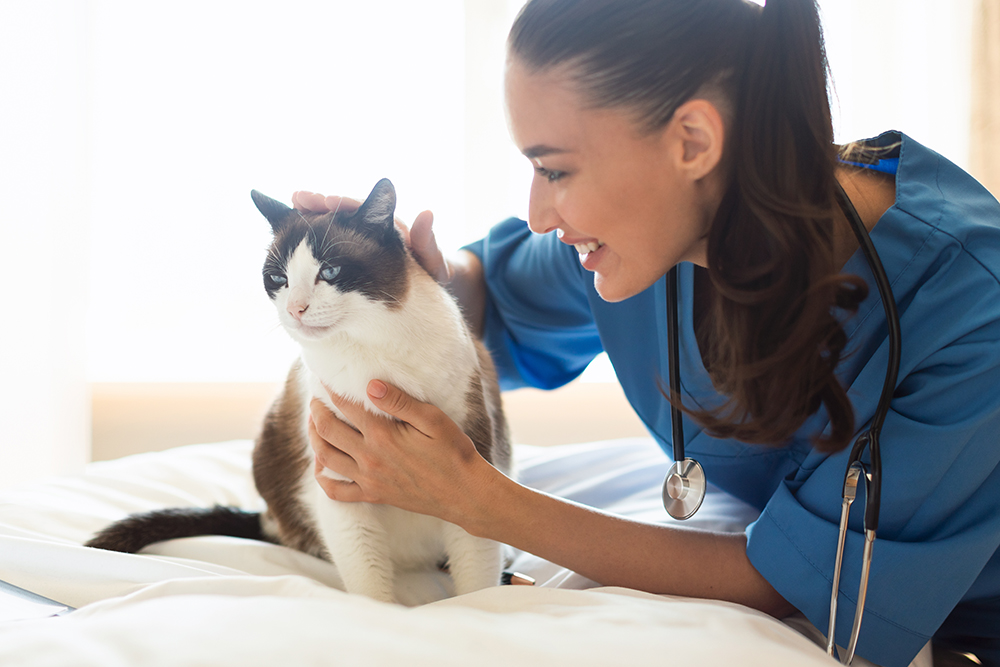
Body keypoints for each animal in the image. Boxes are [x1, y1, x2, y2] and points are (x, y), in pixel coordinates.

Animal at [86, 179, 512, 604]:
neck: (372, 354)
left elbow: (477, 583)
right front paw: (384, 614)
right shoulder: (340, 487)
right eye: (279, 279)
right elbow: (371, 592)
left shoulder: (467, 480)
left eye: (331, 271)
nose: (296, 309)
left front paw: (478, 606)